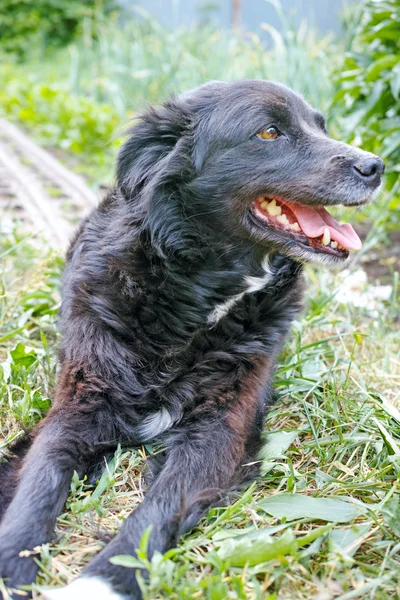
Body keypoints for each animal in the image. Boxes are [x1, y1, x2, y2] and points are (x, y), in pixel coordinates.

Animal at [0, 81, 382, 600]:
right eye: (270, 132)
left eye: (322, 127)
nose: (376, 166)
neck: (195, 290)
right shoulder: (79, 405)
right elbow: (40, 479)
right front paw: (11, 564)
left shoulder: (217, 431)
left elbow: (154, 513)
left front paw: (101, 582)